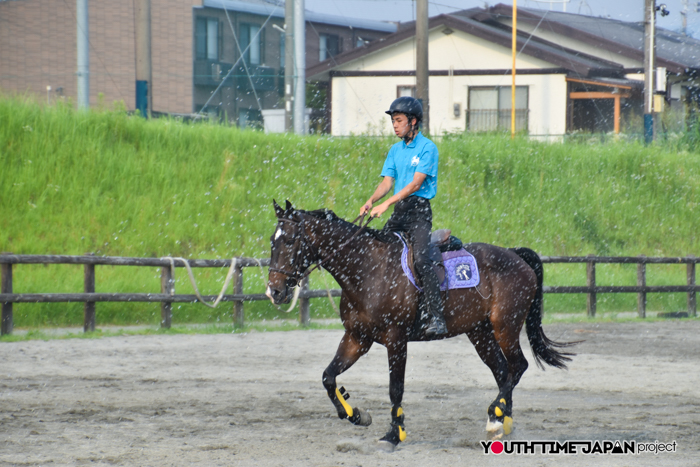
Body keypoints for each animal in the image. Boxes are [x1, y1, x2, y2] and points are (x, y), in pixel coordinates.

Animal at [266, 200, 574, 446]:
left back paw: (496, 414)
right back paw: (500, 422)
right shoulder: (356, 338)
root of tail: (514, 255)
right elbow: (328, 377)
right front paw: (356, 415)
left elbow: (395, 388)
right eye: (272, 240)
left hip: (505, 327)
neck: (367, 269)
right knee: (502, 371)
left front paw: (394, 433)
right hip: (480, 332)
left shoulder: (396, 340)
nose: (274, 291)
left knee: (517, 366)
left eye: (290, 240)